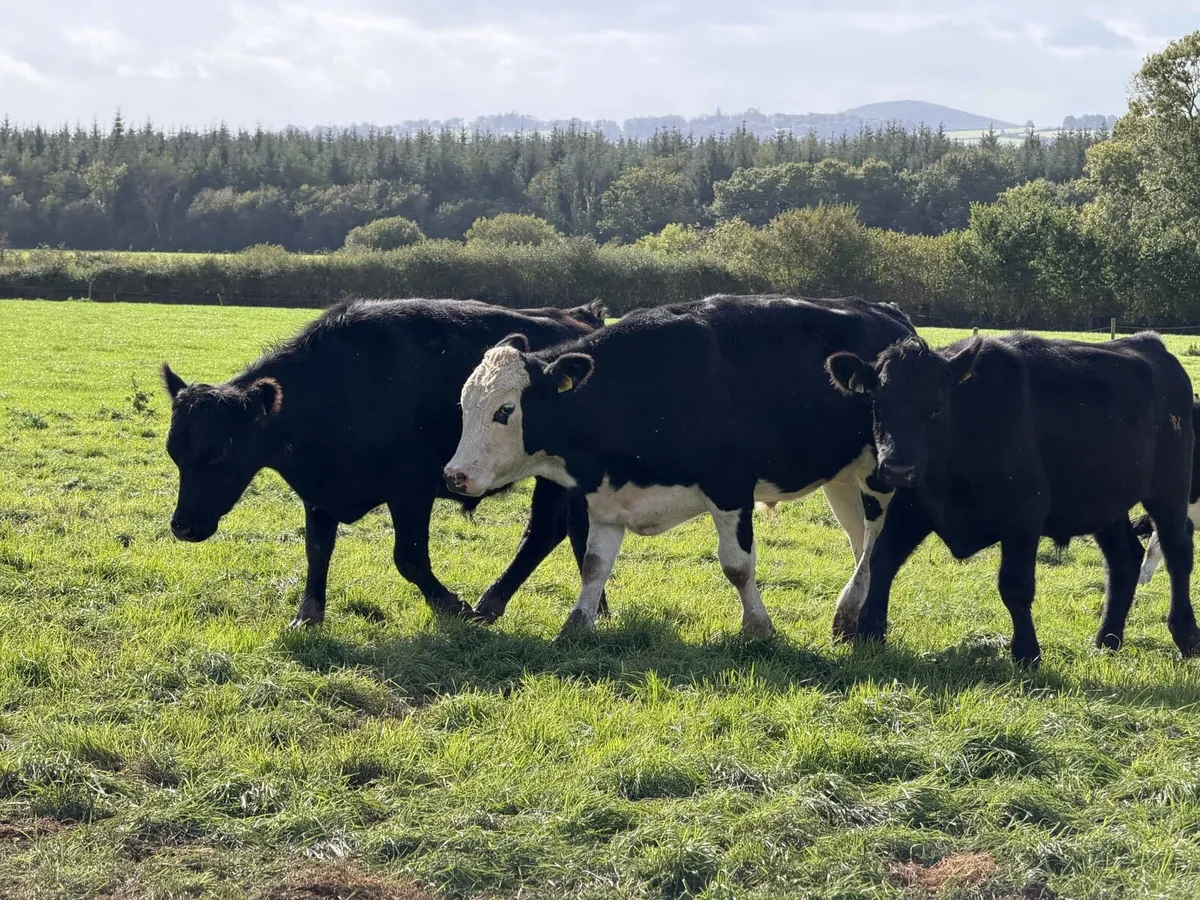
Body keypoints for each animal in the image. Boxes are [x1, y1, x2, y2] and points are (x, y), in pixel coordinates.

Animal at [161, 298, 608, 628]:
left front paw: (452, 605)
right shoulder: (318, 494)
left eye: (218, 453)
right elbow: (317, 550)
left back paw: (489, 604)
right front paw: (308, 616)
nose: (182, 526)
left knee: (543, 531)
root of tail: (582, 317)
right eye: (174, 452)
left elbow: (408, 557)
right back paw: (596, 608)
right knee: (575, 530)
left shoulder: (412, 487)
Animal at [442, 294, 917, 638]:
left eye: (505, 411)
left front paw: (758, 629)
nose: (454, 475)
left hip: (878, 472)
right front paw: (576, 627)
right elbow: (595, 564)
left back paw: (850, 613)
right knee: (859, 541)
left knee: (874, 538)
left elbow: (737, 565)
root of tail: (890, 313)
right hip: (842, 477)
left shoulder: (730, 487)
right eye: (463, 405)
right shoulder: (607, 498)